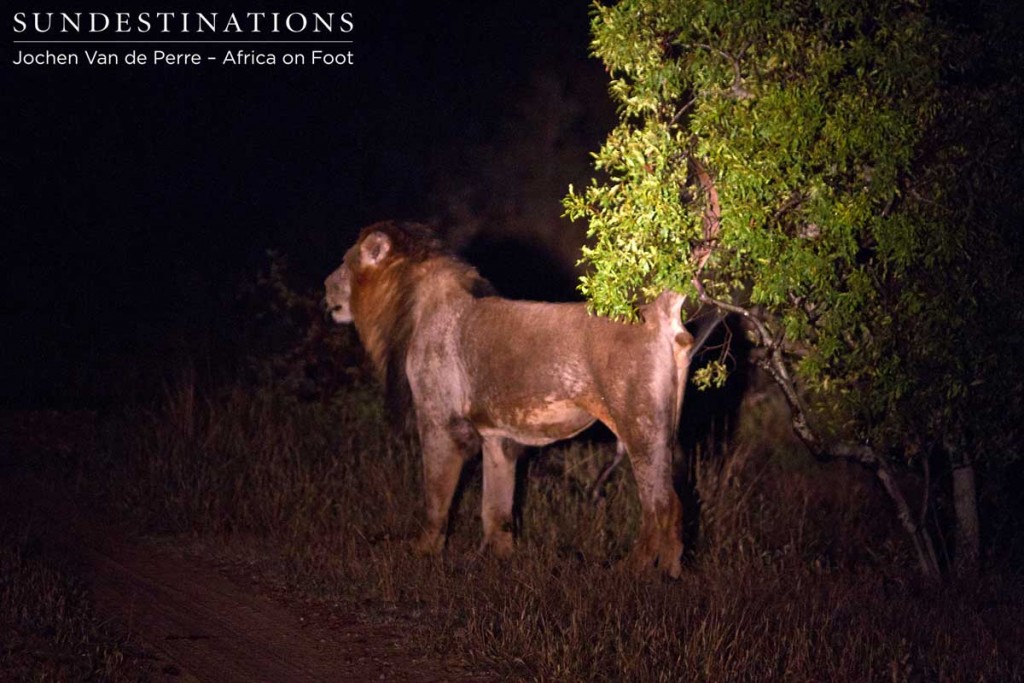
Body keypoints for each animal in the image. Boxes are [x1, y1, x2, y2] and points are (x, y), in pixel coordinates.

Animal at [325, 220, 696, 577]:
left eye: (344, 261)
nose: (325, 286)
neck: (412, 302)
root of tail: (656, 312)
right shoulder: (498, 435)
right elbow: (496, 506)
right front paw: (500, 559)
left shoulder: (439, 422)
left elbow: (436, 496)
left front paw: (423, 551)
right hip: (665, 431)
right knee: (676, 504)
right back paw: (673, 572)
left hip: (640, 428)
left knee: (660, 506)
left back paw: (634, 571)